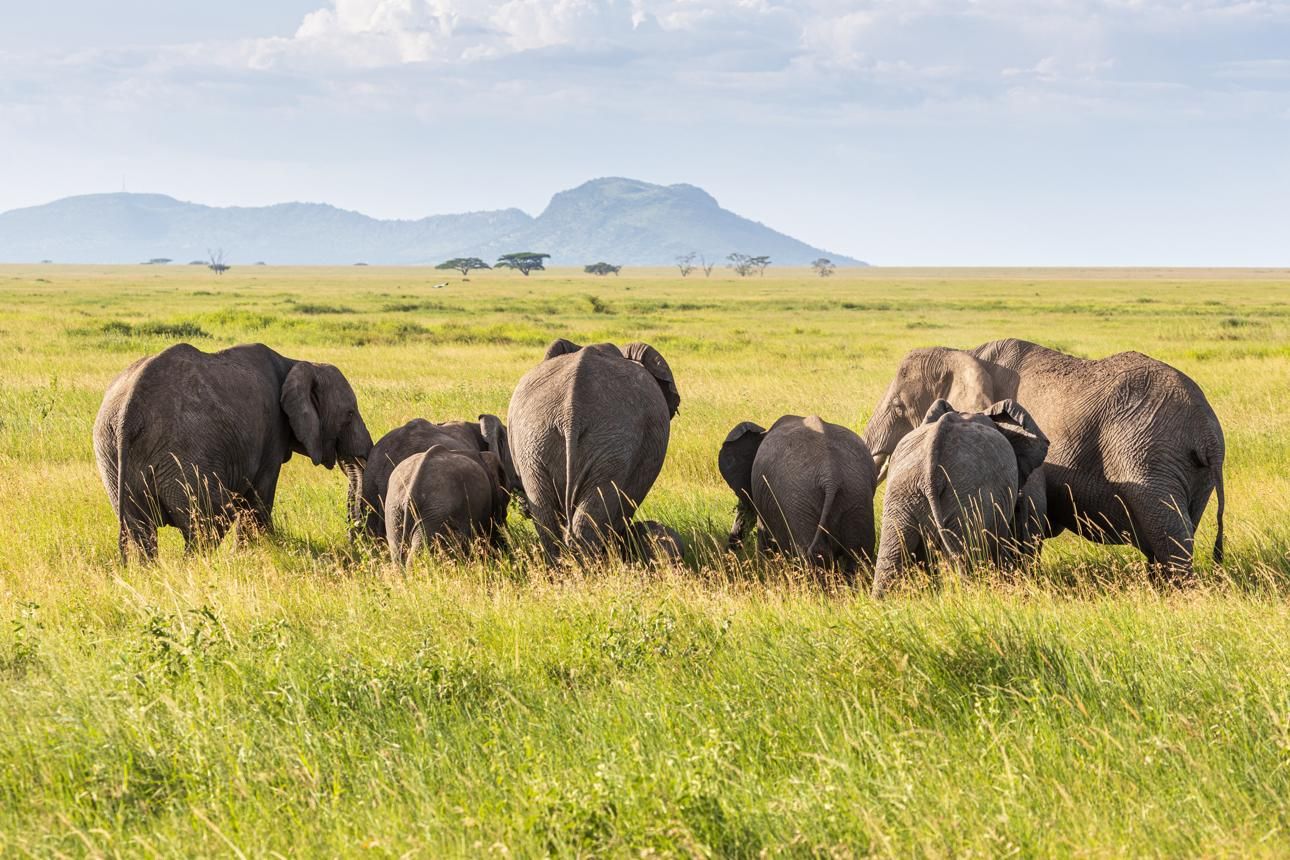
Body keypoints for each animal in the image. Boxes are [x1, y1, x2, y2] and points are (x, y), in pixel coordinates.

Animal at [93, 342, 372, 561]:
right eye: (349, 414)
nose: (357, 540)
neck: (296, 363)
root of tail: (129, 413)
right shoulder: (271, 433)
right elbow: (258, 500)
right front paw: (257, 554)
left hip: (110, 455)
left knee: (140, 529)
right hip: (184, 453)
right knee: (210, 520)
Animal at [718, 415, 876, 576]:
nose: (729, 553)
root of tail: (831, 475)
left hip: (798, 503)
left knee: (813, 554)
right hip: (856, 495)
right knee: (858, 554)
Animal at [864, 338, 1225, 576]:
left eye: (898, 407)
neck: (965, 355)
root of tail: (1208, 432)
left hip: (1148, 456)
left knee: (1169, 536)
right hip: (1188, 472)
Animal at [872, 399, 1049, 597]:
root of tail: (930, 471)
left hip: (903, 493)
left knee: (891, 556)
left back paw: (880, 600)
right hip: (966, 496)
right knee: (965, 560)